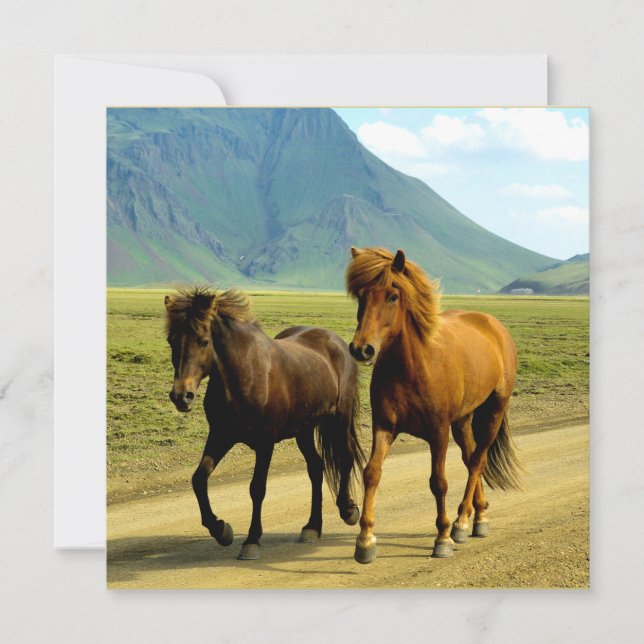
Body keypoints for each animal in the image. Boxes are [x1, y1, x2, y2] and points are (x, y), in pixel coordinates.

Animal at [164, 287, 365, 560]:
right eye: (171, 341)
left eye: (203, 341)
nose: (181, 396)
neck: (244, 375)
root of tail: (336, 341)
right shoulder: (220, 435)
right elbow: (199, 479)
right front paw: (221, 530)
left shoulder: (265, 442)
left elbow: (257, 488)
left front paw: (251, 540)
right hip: (304, 430)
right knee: (316, 467)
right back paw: (312, 526)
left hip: (339, 418)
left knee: (344, 457)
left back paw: (348, 510)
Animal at [346, 247, 522, 563]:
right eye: (361, 296)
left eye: (392, 296)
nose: (361, 349)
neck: (412, 367)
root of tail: (493, 325)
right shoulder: (384, 427)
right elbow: (371, 473)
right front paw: (365, 540)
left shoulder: (438, 432)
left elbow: (438, 482)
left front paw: (443, 537)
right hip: (462, 420)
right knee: (470, 457)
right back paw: (479, 516)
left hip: (493, 410)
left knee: (478, 461)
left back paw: (462, 522)